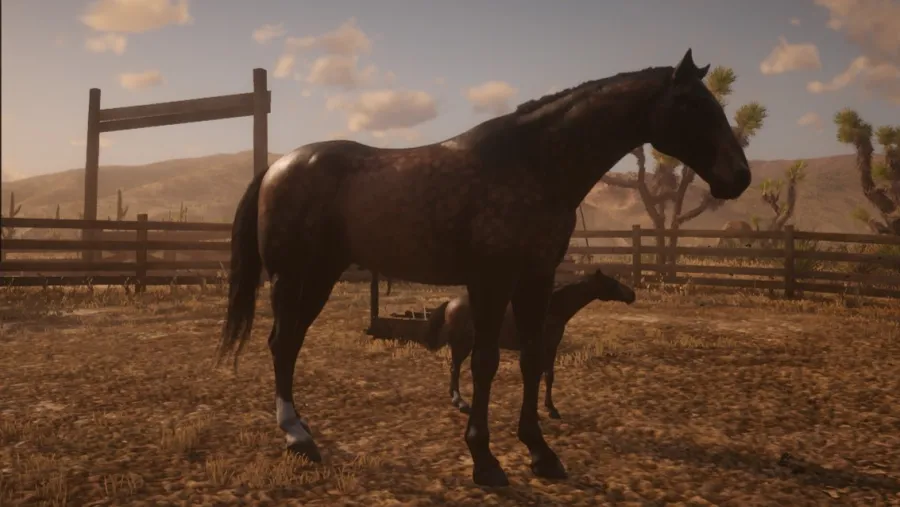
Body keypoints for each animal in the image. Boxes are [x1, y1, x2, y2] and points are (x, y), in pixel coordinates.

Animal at [422, 268, 636, 419]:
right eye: (612, 283)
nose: (632, 295)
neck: (552, 308)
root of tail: (451, 303)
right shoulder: (547, 347)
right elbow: (546, 376)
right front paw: (550, 410)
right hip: (462, 344)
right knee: (455, 369)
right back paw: (459, 402)